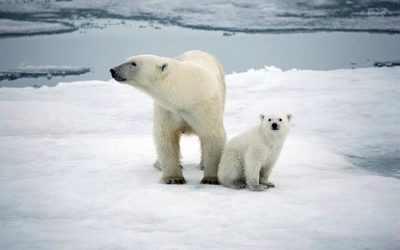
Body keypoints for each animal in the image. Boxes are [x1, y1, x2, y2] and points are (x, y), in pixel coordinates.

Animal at [109, 50, 227, 184]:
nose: (113, 70)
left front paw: (210, 178)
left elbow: (212, 134)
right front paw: (174, 178)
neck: (184, 94)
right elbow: (166, 136)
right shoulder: (167, 109)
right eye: (126, 60)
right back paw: (159, 164)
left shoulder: (204, 106)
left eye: (134, 63)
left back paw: (202, 164)